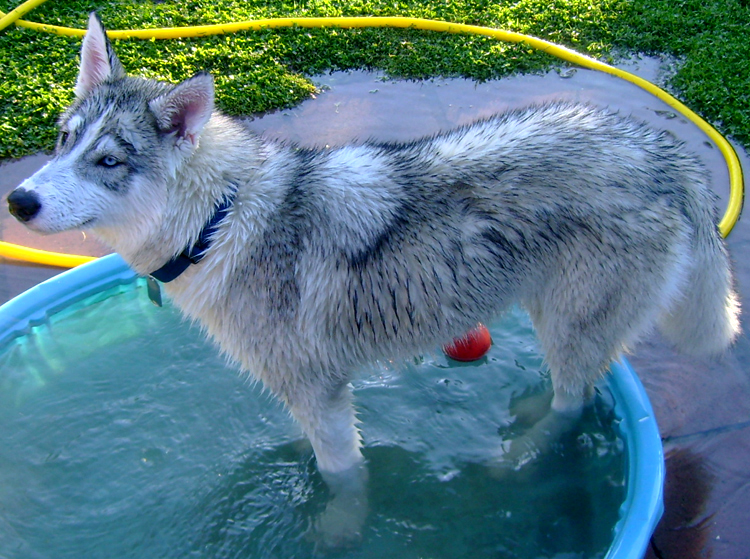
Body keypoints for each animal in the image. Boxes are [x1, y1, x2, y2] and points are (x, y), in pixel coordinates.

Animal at [8, 14, 744, 552]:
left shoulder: (322, 390)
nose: (17, 201)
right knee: (576, 390)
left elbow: (343, 477)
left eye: (108, 161)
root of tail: (663, 151)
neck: (220, 220)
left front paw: (340, 530)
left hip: (568, 323)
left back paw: (517, 456)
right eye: (63, 139)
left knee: (573, 404)